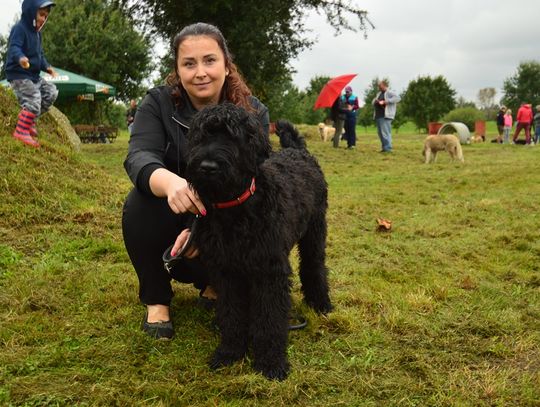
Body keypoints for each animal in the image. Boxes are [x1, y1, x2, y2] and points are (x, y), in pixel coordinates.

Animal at [184, 103, 332, 382]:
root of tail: (298, 151)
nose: (207, 166)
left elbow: (269, 319)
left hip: (315, 233)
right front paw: (230, 353)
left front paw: (271, 362)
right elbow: (232, 314)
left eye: (233, 137)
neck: (235, 210)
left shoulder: (268, 271)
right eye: (202, 135)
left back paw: (321, 304)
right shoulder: (226, 272)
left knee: (314, 266)